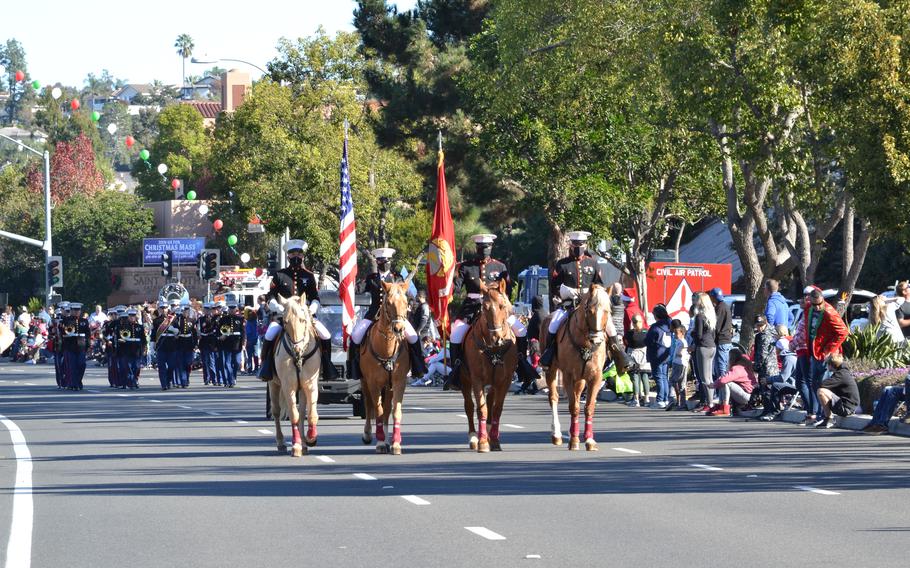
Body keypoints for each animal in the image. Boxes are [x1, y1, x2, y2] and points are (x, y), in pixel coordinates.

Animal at [268, 292, 322, 458]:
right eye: (285, 322)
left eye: (303, 320)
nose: (296, 349)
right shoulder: (288, 386)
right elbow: (294, 414)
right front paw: (296, 445)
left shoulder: (310, 385)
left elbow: (311, 414)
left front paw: (311, 438)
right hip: (274, 384)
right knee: (276, 412)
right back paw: (282, 442)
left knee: (303, 412)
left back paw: (305, 443)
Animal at [360, 280, 414, 458]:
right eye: (388, 303)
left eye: (406, 302)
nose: (398, 329)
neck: (387, 347)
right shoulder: (373, 383)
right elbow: (377, 410)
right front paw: (380, 443)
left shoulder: (399, 382)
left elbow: (394, 410)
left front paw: (396, 443)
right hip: (364, 382)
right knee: (368, 404)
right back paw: (369, 434)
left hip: (388, 386)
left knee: (387, 407)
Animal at [460, 280, 516, 452]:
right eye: (484, 308)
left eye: (502, 306)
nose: (496, 338)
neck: (494, 349)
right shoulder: (477, 379)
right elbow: (481, 409)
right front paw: (483, 442)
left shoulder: (505, 381)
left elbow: (497, 409)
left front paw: (495, 440)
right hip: (465, 380)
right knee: (469, 406)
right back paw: (474, 437)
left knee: (491, 402)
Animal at [540, 286, 612, 450]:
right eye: (589, 310)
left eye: (607, 310)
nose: (597, 338)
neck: (585, 343)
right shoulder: (567, 375)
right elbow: (573, 406)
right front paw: (573, 440)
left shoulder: (595, 377)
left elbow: (588, 407)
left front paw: (589, 439)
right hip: (552, 371)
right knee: (554, 397)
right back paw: (557, 434)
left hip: (581, 379)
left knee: (578, 396)